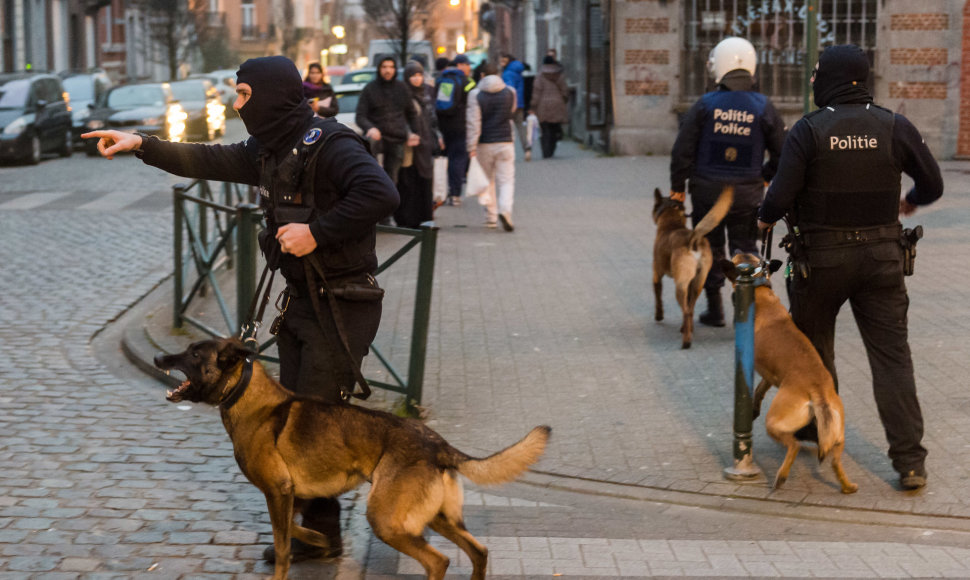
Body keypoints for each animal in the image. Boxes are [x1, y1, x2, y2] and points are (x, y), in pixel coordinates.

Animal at [150, 338, 544, 580]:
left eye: (194, 354)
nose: (158, 359)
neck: (248, 396)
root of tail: (438, 443)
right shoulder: (291, 494)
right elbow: (291, 528)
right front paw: (319, 540)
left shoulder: (278, 491)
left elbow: (282, 545)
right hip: (438, 519)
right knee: (479, 552)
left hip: (386, 521)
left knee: (440, 560)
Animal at [652, 187, 732, 348]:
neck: (671, 222)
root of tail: (693, 240)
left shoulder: (656, 274)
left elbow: (658, 297)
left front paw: (659, 315)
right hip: (698, 283)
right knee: (690, 308)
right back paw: (687, 329)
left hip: (680, 285)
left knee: (686, 310)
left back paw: (686, 341)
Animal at [720, 254, 856, 494]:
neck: (759, 288)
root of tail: (818, 390)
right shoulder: (769, 375)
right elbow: (759, 389)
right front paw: (753, 407)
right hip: (837, 434)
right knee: (834, 460)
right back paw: (847, 486)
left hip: (774, 422)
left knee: (794, 444)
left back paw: (781, 476)